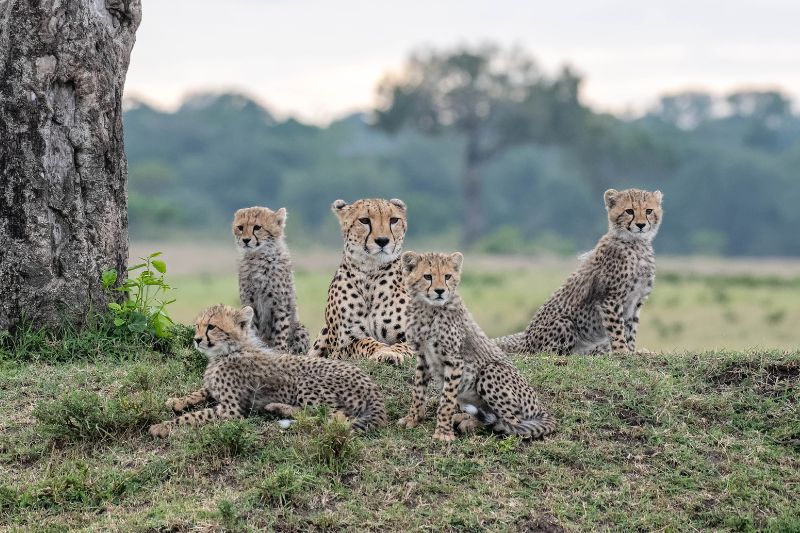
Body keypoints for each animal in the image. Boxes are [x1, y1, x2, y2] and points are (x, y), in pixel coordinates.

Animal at [148, 304, 387, 437]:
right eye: (197, 326)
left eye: (211, 327)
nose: (196, 340)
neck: (229, 350)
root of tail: (372, 386)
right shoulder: (214, 390)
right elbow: (200, 390)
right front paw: (177, 401)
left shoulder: (232, 411)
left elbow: (195, 416)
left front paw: (163, 426)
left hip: (306, 383)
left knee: (335, 417)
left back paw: (280, 408)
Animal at [233, 206, 309, 354]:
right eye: (240, 227)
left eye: (257, 227)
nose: (245, 240)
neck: (258, 257)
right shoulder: (250, 303)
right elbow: (252, 329)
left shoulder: (280, 304)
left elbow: (280, 332)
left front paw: (279, 352)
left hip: (300, 329)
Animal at [308, 198, 414, 365]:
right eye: (364, 220)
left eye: (394, 220)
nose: (382, 241)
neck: (371, 272)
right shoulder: (341, 347)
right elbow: (365, 342)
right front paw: (383, 351)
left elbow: (403, 345)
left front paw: (392, 353)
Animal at [397, 251, 557, 442]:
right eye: (427, 276)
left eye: (447, 276)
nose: (440, 291)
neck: (427, 309)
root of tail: (539, 407)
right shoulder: (423, 357)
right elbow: (418, 391)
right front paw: (413, 418)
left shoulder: (455, 360)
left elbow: (447, 401)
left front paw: (443, 432)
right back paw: (463, 417)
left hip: (490, 370)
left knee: (512, 423)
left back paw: (472, 423)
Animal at [494, 188, 663, 356]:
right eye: (629, 211)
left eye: (648, 211)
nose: (641, 225)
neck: (637, 244)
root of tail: (524, 344)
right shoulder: (610, 299)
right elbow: (617, 330)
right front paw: (622, 351)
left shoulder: (636, 302)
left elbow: (631, 330)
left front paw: (632, 351)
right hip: (565, 323)